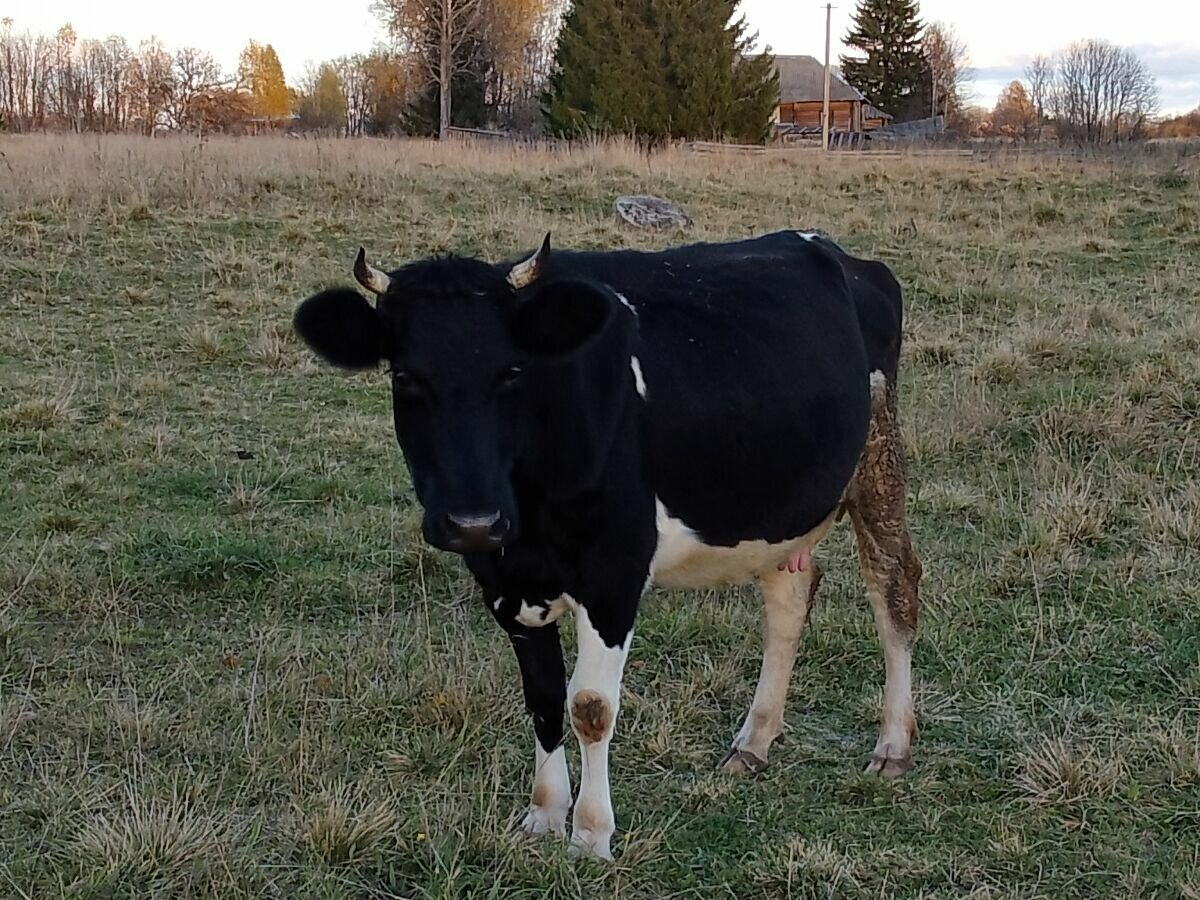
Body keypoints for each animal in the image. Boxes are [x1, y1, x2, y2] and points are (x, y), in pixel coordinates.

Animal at [292, 229, 926, 864]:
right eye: (404, 377)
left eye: (512, 371)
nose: (473, 520)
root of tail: (839, 254)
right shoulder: (502, 576)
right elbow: (544, 696)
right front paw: (545, 813)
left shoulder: (613, 573)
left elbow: (590, 706)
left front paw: (592, 834)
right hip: (773, 506)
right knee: (790, 596)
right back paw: (754, 741)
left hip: (879, 455)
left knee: (894, 588)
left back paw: (893, 746)